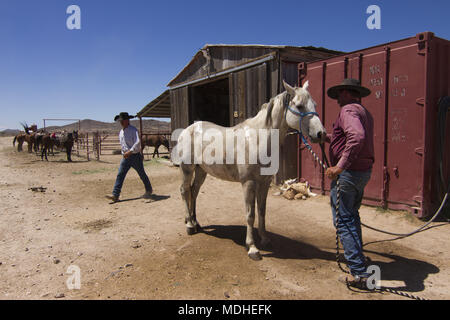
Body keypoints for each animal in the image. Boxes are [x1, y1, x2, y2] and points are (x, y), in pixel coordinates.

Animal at [174, 80, 326, 260]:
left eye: (314, 104)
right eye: (300, 106)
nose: (321, 134)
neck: (258, 139)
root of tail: (188, 129)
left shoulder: (264, 183)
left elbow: (261, 211)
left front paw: (265, 239)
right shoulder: (248, 183)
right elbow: (250, 214)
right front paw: (252, 247)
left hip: (201, 171)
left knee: (194, 191)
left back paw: (195, 222)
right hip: (187, 169)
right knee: (184, 191)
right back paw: (190, 225)